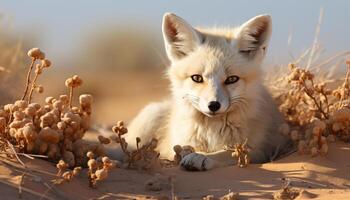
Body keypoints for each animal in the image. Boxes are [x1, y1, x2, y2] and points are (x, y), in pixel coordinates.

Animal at [108, 12, 292, 170]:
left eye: (232, 79)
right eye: (197, 78)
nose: (214, 105)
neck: (212, 130)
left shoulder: (259, 150)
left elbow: (227, 153)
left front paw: (201, 157)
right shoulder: (177, 145)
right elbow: (182, 151)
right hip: (151, 115)